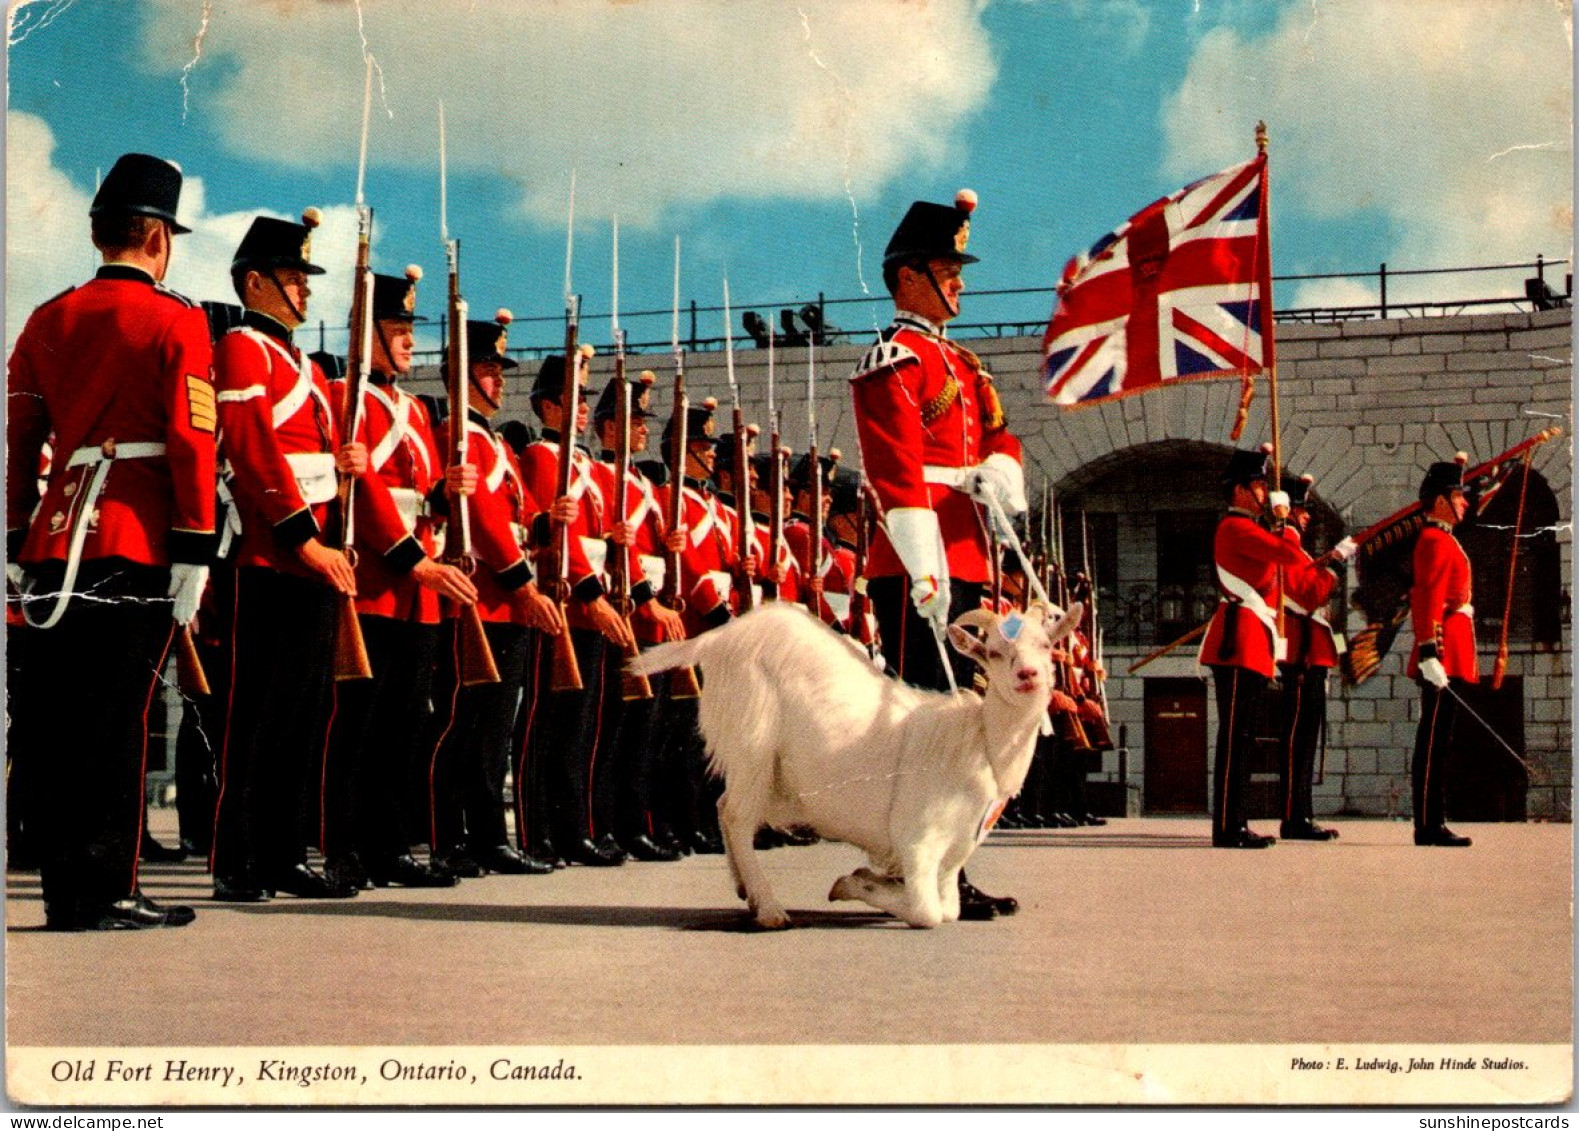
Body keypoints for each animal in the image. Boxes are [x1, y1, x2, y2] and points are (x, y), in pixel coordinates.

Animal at [625, 600, 1073, 928]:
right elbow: (928, 913)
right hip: (752, 738)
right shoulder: (918, 840)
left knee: (724, 808)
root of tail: (723, 635)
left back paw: (746, 893)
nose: (1028, 675)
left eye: (1046, 646)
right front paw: (853, 883)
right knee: (736, 816)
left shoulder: (954, 852)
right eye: (994, 653)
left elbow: (950, 909)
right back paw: (769, 910)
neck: (980, 741)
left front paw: (871, 881)